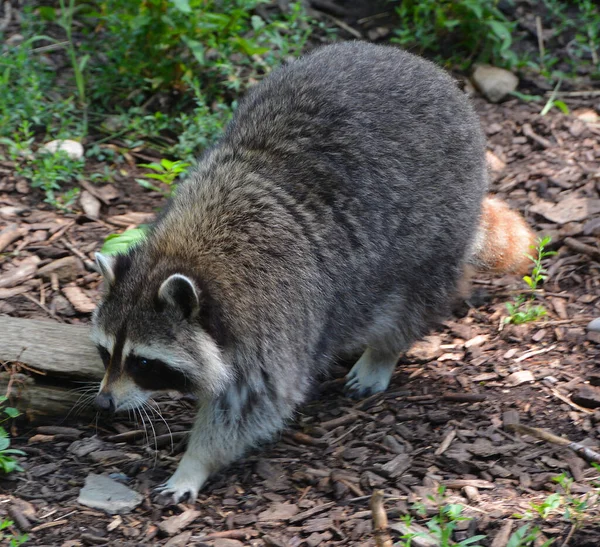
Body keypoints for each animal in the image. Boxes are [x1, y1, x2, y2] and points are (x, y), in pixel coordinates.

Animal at [90, 40, 536, 504]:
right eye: (105, 353)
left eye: (144, 362)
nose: (103, 404)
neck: (182, 253)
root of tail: (425, 66)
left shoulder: (271, 314)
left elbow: (253, 405)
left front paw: (194, 464)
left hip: (440, 218)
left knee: (412, 299)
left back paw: (382, 352)